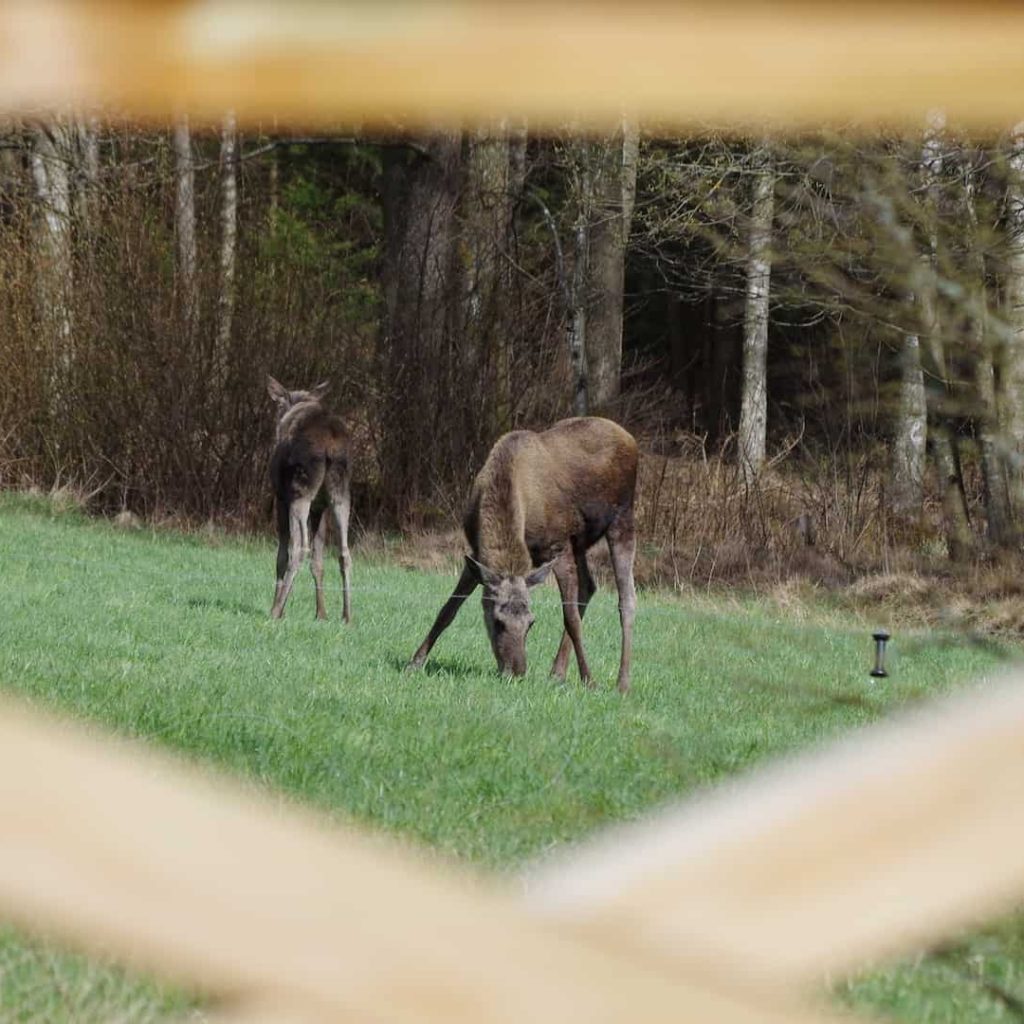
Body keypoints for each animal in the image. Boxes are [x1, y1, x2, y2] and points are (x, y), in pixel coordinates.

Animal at [268, 374, 352, 618]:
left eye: (278, 406)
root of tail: (330, 446)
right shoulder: (320, 507)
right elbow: (318, 560)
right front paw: (321, 613)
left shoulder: (280, 498)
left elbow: (282, 555)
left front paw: (279, 605)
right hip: (340, 493)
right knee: (344, 552)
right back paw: (347, 615)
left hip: (300, 493)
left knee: (299, 548)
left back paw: (276, 610)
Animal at [409, 417, 638, 696]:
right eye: (497, 621)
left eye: (531, 623)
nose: (516, 672)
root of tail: (630, 438)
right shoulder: (477, 556)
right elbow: (448, 609)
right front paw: (416, 661)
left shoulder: (558, 546)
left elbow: (571, 618)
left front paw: (589, 679)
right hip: (581, 542)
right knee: (589, 586)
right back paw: (557, 672)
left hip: (622, 519)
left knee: (626, 599)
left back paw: (622, 683)